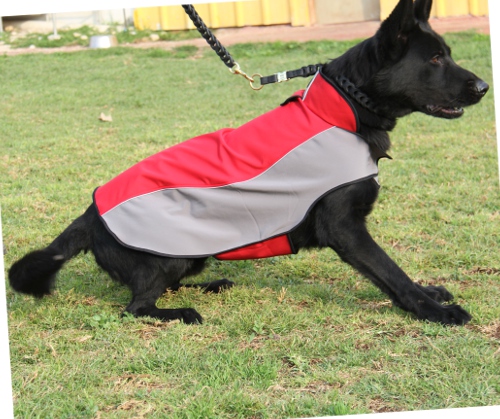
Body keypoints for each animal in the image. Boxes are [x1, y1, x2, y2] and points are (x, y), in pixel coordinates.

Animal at [8, 0, 488, 326]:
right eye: (434, 58)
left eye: (447, 52)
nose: (484, 86)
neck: (342, 109)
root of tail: (90, 214)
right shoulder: (346, 229)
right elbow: (392, 273)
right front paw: (434, 310)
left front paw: (431, 293)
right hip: (166, 258)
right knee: (137, 307)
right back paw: (181, 312)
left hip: (190, 256)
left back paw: (213, 285)